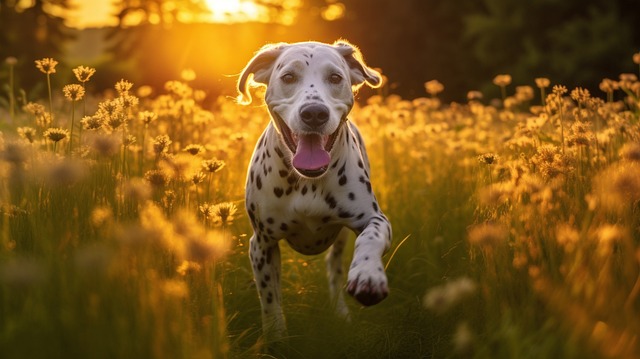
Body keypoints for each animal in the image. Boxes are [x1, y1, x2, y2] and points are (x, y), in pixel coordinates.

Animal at [238, 40, 392, 342]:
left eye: (335, 77)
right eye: (288, 77)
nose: (314, 113)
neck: (307, 183)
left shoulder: (374, 219)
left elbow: (371, 238)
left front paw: (368, 274)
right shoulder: (261, 243)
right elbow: (269, 297)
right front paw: (276, 336)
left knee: (334, 268)